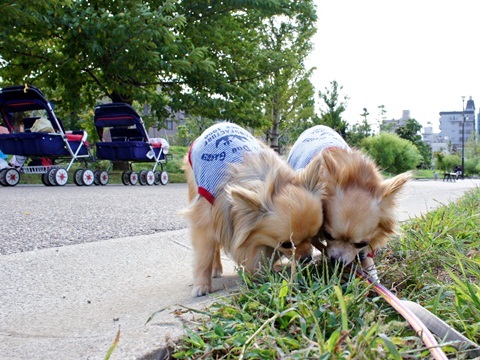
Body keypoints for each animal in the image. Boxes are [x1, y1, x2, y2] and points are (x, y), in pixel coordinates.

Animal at [182, 122, 324, 296]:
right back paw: (215, 269)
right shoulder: (205, 221)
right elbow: (204, 255)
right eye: (286, 244)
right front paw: (201, 285)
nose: (307, 258)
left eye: (311, 237)